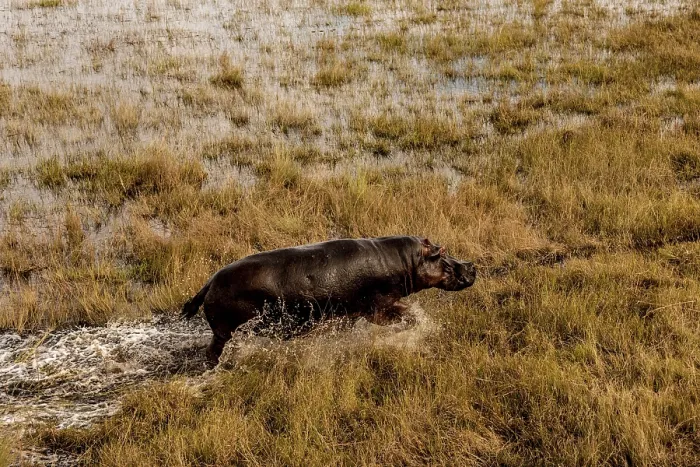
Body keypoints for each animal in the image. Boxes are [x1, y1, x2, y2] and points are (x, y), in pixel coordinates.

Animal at [181, 236, 476, 363]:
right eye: (442, 252)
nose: (472, 265)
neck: (407, 261)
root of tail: (210, 282)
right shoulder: (378, 308)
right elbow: (407, 314)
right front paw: (413, 326)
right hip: (226, 330)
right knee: (213, 351)